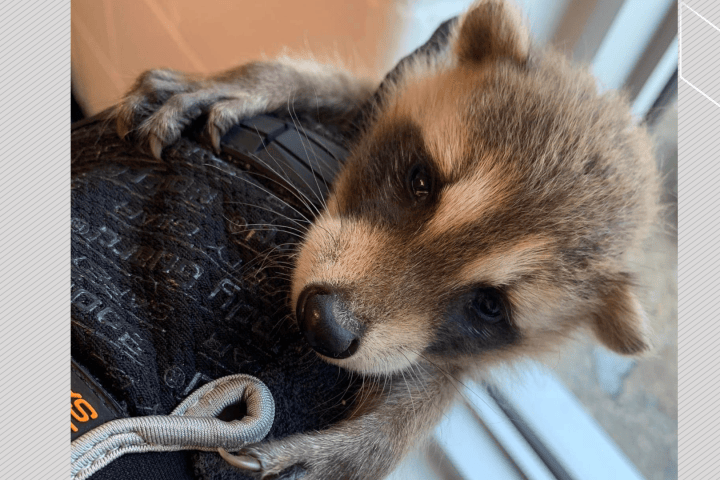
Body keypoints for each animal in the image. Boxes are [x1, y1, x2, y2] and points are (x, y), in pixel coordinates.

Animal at [113, 1, 659, 478]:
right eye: (420, 181)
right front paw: (270, 80)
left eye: (489, 305)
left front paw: (360, 447)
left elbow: (433, 383)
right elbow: (352, 86)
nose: (325, 325)